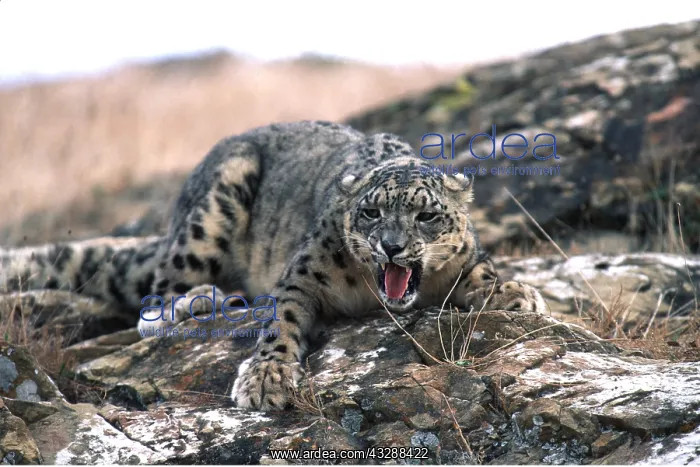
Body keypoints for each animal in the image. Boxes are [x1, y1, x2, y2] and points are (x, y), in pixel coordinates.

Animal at [0, 120, 547, 411]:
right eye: (370, 212)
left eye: (426, 215)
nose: (391, 247)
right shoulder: (302, 275)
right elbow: (280, 323)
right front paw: (266, 379)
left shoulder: (467, 258)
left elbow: (482, 270)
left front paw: (516, 293)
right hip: (211, 209)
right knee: (154, 301)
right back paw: (202, 299)